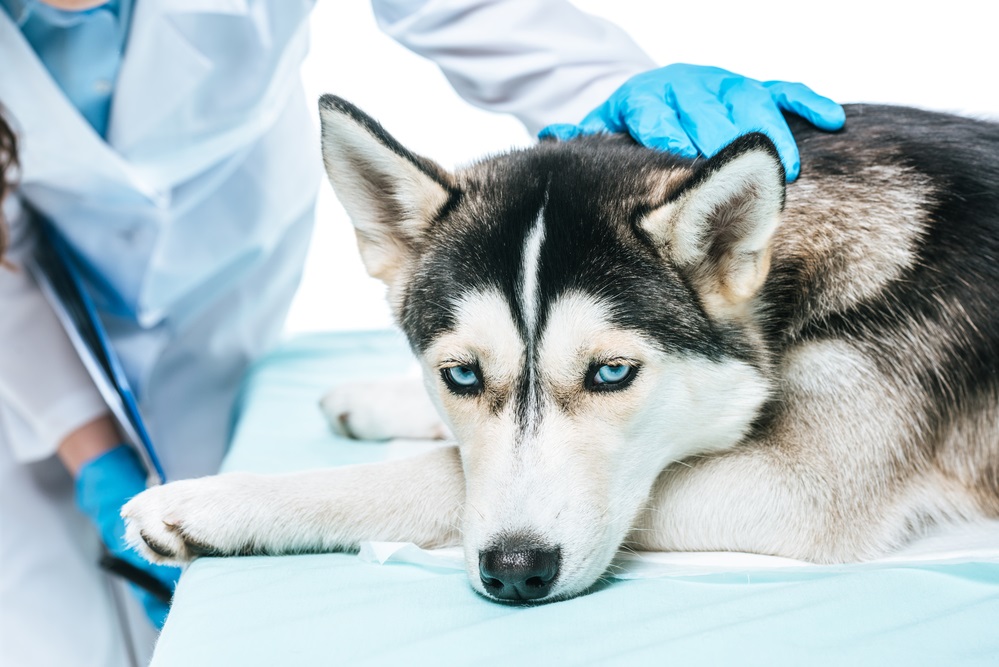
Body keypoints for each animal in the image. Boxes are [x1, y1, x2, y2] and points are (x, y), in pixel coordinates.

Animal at [125, 96, 999, 604]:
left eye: (612, 372)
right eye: (461, 373)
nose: (514, 572)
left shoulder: (796, 489)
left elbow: (434, 478)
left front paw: (210, 503)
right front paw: (379, 397)